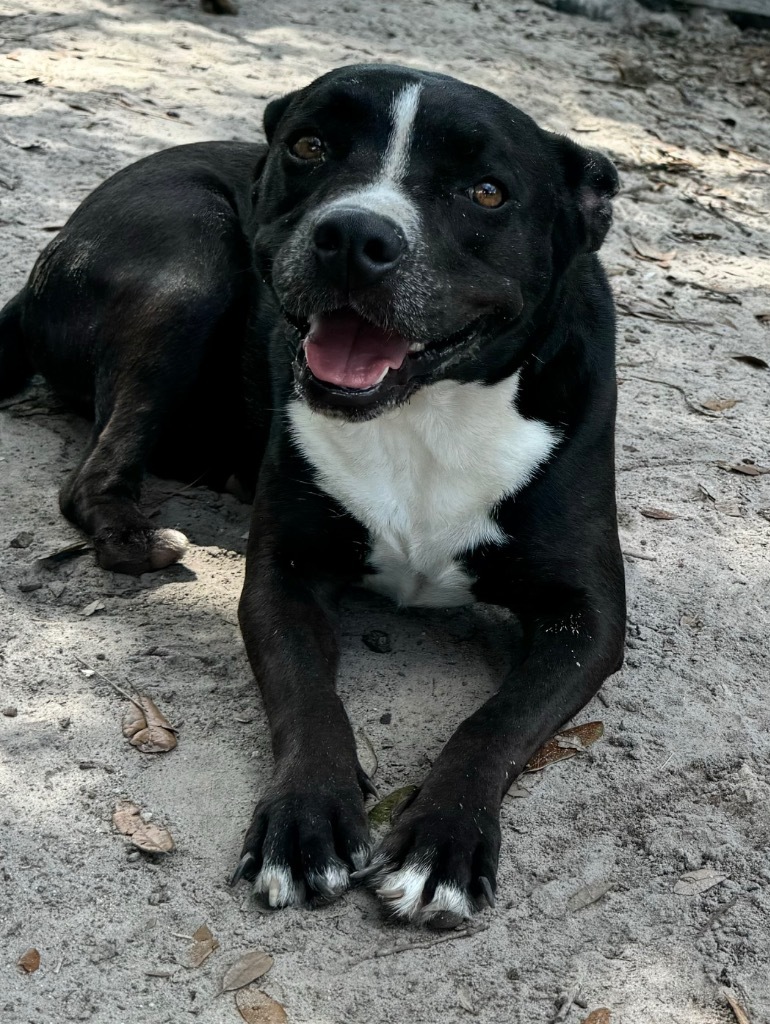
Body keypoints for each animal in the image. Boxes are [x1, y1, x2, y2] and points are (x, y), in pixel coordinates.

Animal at [0, 64, 626, 929]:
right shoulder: (284, 577)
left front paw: (444, 843)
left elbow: (493, 723)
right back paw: (137, 534)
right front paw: (307, 823)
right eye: (310, 146)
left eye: (487, 193)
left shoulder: (586, 619)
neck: (423, 412)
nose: (355, 236)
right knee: (92, 472)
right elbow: (308, 698)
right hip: (191, 255)